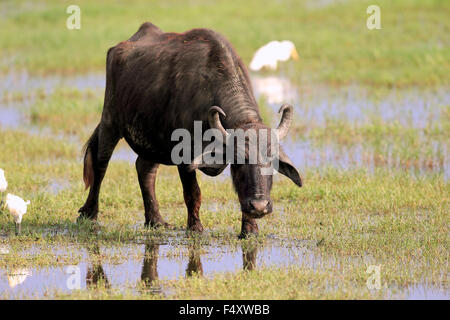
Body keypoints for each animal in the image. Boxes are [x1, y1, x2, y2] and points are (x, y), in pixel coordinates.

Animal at [78, 21, 302, 238]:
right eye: (239, 160)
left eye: (271, 161)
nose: (260, 205)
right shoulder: (184, 155)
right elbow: (193, 193)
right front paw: (195, 228)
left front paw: (250, 230)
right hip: (110, 121)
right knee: (100, 165)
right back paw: (89, 214)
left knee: (145, 169)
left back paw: (155, 220)